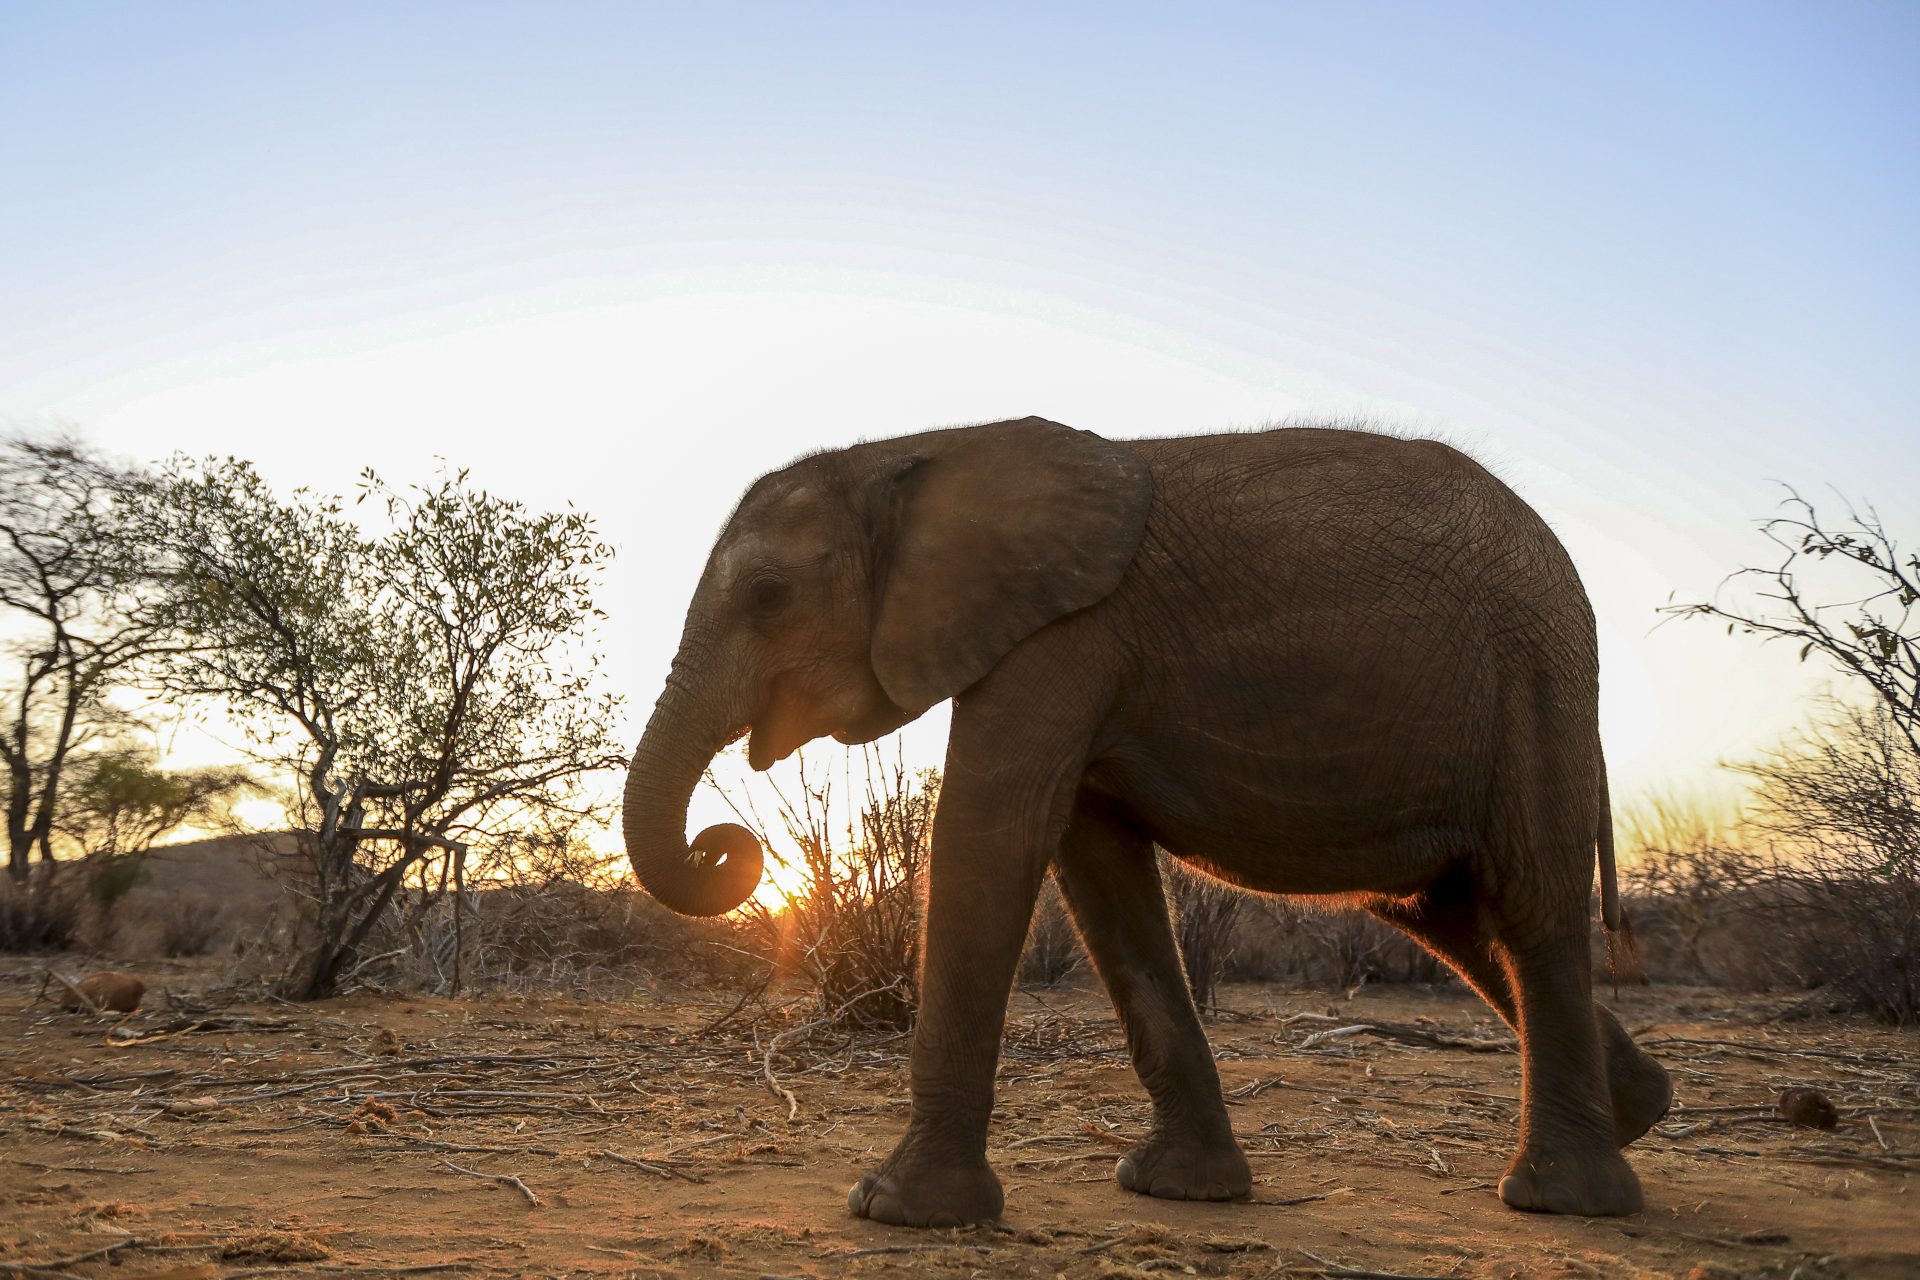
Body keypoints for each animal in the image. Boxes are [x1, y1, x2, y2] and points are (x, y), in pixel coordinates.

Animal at [623, 416, 1672, 1227]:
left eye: (768, 597)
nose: (725, 847)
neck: (919, 449)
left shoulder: (1060, 639)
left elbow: (991, 836)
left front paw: (895, 1208)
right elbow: (1101, 877)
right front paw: (1176, 1190)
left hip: (1534, 688)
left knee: (1528, 908)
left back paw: (1563, 1198)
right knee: (1443, 909)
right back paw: (1641, 1109)